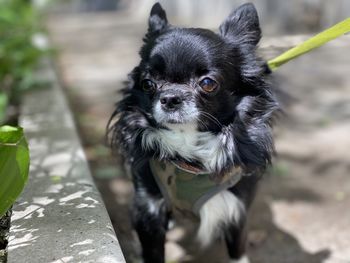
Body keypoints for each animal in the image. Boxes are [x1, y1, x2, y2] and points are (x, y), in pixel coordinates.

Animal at [109, 2, 278, 263]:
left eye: (207, 83)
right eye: (148, 83)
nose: (170, 98)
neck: (189, 150)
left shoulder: (236, 208)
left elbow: (237, 249)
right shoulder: (148, 209)